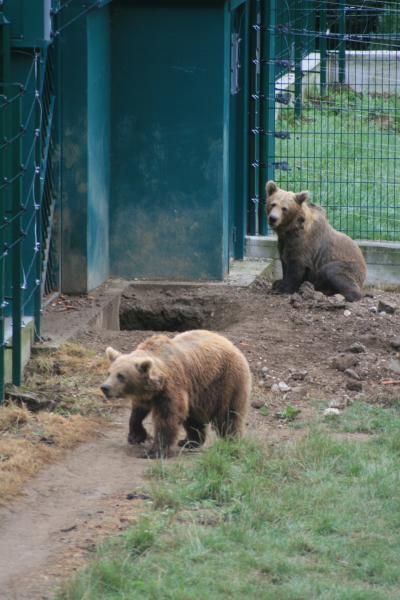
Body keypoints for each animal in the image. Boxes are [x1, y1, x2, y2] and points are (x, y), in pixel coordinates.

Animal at [100, 330, 250, 458]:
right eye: (109, 372)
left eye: (121, 376)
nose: (105, 387)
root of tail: (233, 346)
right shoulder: (148, 394)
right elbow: (137, 412)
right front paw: (135, 436)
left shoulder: (172, 387)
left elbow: (167, 417)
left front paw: (154, 451)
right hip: (197, 392)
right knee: (193, 418)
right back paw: (189, 441)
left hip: (226, 381)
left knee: (228, 415)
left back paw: (230, 441)